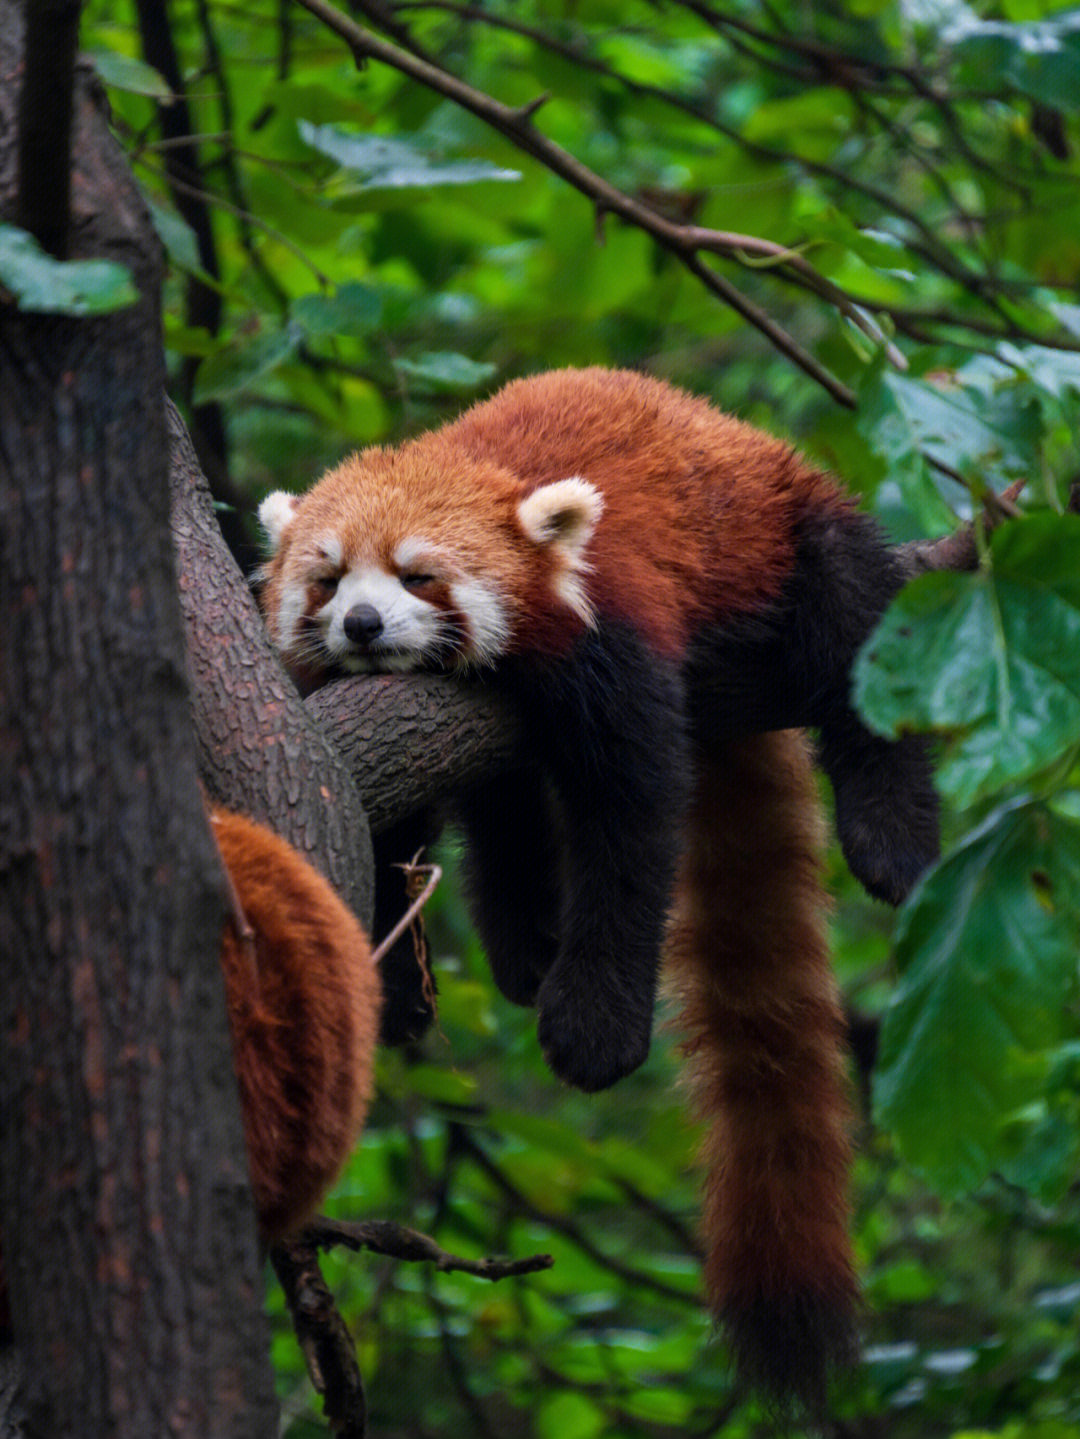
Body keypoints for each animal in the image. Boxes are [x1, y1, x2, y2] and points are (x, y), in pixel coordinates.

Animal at [255, 365, 937, 1410]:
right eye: (327, 580)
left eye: (418, 575)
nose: (362, 625)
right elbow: (386, 834)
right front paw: (396, 985)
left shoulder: (613, 631)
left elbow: (631, 824)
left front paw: (596, 1021)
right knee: (505, 814)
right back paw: (522, 941)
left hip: (784, 526)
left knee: (858, 629)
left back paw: (891, 832)